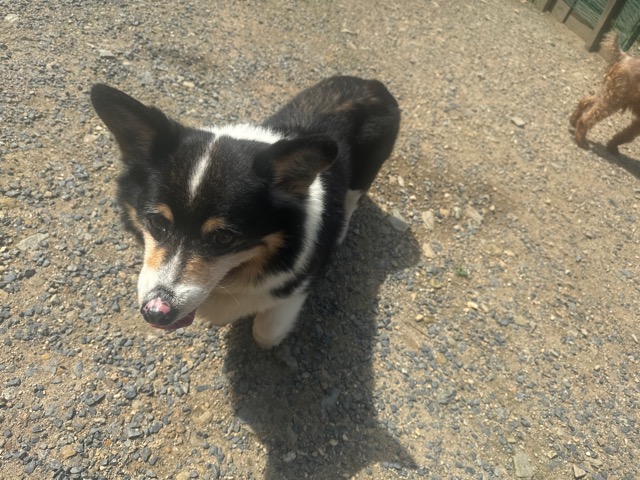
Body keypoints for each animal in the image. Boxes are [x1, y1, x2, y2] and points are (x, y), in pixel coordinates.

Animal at [91, 76, 400, 347]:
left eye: (223, 238)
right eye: (156, 222)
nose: (156, 313)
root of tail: (374, 84)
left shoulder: (299, 283)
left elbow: (267, 331)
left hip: (366, 172)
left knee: (353, 196)